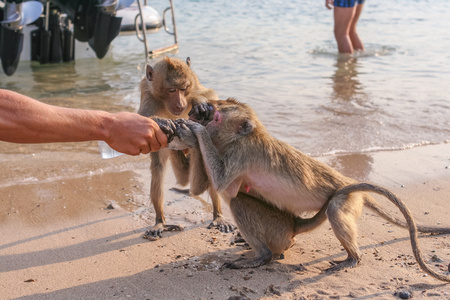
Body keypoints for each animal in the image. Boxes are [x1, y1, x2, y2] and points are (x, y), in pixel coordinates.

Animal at [138, 56, 236, 240]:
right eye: (171, 90)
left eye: (183, 89)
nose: (180, 104)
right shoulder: (148, 94)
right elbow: (138, 120)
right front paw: (161, 122)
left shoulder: (194, 83)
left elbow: (210, 95)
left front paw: (200, 103)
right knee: (159, 168)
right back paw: (160, 221)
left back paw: (218, 216)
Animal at [175, 98, 450, 282]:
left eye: (217, 117)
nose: (203, 112)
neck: (241, 137)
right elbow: (207, 186)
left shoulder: (240, 153)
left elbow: (223, 184)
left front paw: (195, 132)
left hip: (344, 199)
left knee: (330, 210)